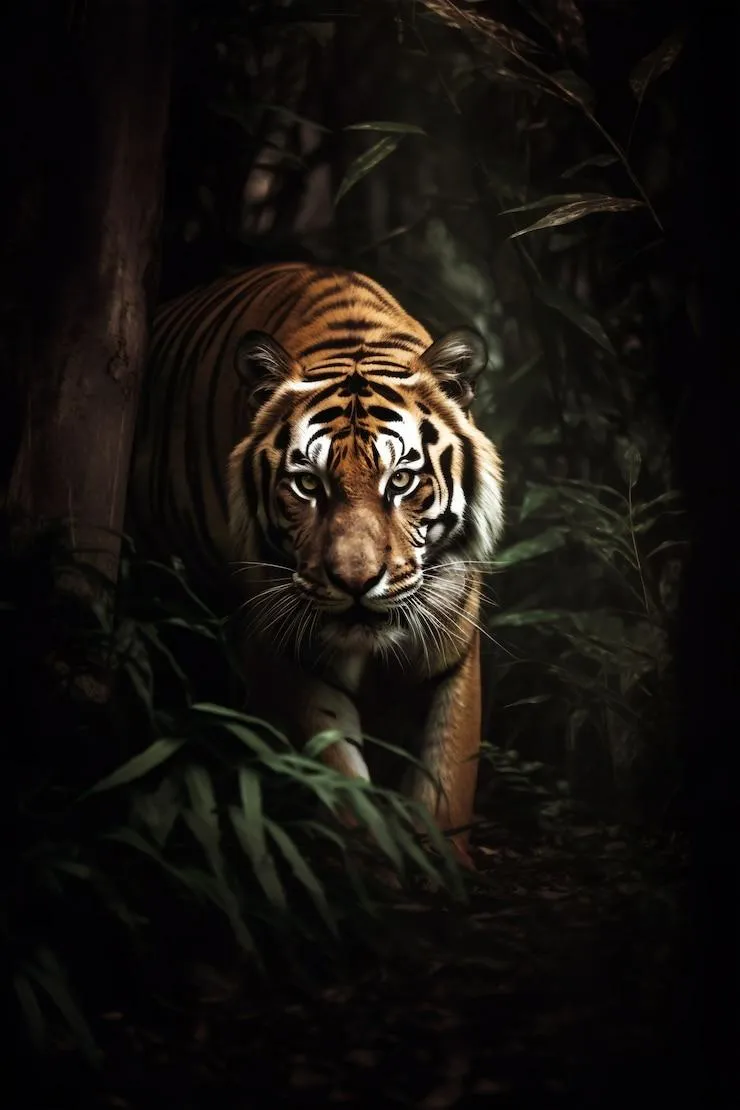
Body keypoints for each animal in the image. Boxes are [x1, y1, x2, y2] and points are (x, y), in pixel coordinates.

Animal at [129, 262, 504, 866]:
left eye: (402, 481)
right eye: (308, 484)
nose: (355, 582)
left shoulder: (451, 645)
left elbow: (447, 777)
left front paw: (442, 865)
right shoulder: (285, 645)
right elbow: (339, 779)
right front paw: (371, 863)